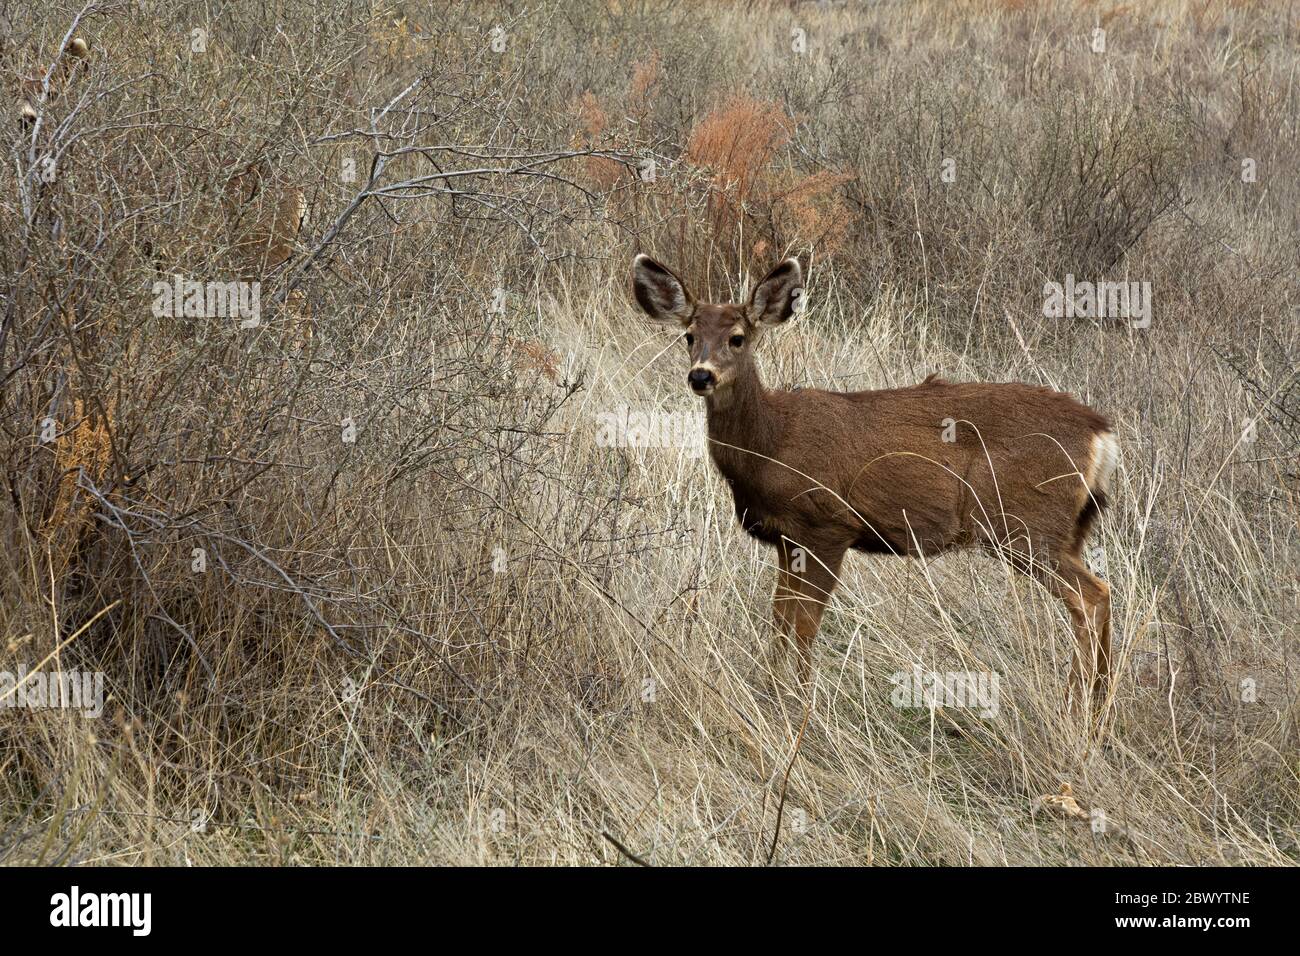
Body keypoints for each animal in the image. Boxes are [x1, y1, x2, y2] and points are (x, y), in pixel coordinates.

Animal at [631, 254, 1119, 714]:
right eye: (688, 336)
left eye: (738, 337)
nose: (701, 376)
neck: (772, 443)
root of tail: (1101, 434)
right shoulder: (787, 539)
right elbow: (780, 618)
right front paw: (770, 691)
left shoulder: (828, 525)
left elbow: (804, 624)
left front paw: (799, 703)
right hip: (1067, 530)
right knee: (1098, 594)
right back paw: (1098, 705)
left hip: (1025, 524)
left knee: (1091, 595)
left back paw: (1078, 708)